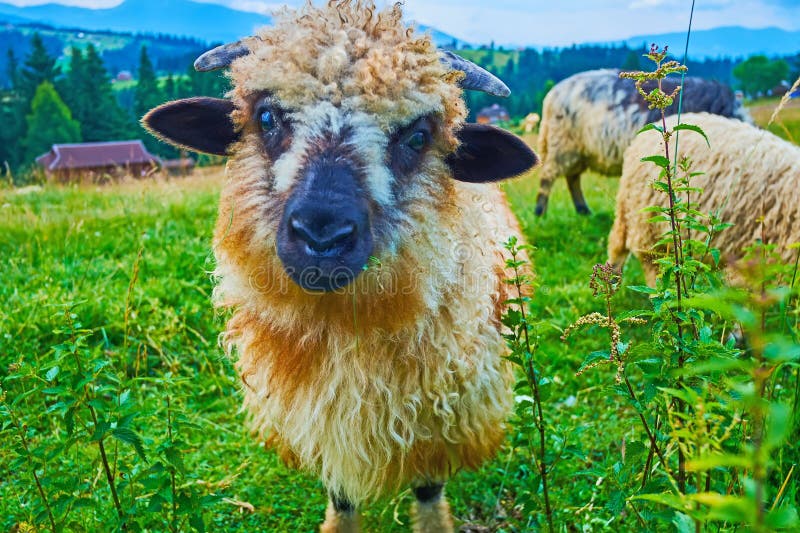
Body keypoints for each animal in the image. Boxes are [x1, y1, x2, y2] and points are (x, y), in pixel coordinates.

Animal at [142, 2, 536, 528]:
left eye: (417, 136)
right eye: (266, 116)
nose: (322, 236)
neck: (344, 329)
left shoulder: (440, 415)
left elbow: (429, 487)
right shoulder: (318, 420)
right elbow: (341, 493)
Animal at [532, 69, 752, 216]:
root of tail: (552, 95)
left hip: (578, 151)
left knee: (572, 178)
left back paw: (583, 211)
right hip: (562, 144)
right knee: (548, 177)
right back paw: (540, 212)